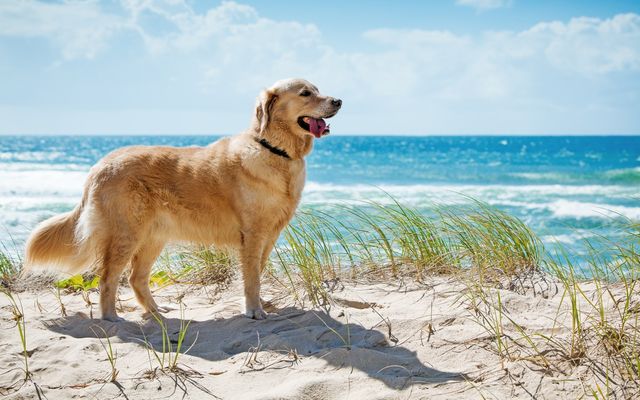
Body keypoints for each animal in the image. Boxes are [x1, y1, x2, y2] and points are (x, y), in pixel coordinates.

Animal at [24, 78, 342, 322]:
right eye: (305, 93)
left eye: (318, 89)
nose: (338, 100)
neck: (275, 150)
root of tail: (101, 164)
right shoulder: (252, 234)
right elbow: (251, 277)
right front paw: (254, 310)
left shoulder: (269, 234)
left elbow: (258, 272)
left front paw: (260, 304)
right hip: (127, 234)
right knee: (108, 278)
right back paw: (111, 317)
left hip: (153, 236)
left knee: (135, 278)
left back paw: (156, 312)